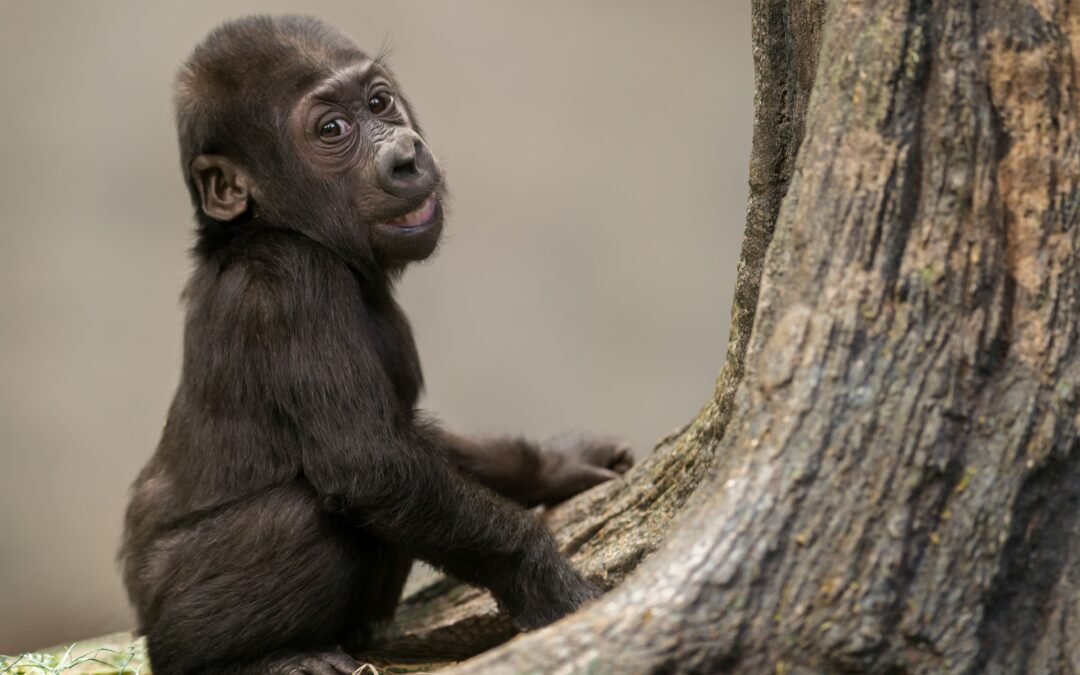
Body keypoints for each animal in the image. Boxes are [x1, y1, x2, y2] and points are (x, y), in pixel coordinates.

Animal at [119, 15, 633, 675]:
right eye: (332, 130)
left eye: (379, 102)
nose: (406, 156)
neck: (270, 226)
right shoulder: (292, 282)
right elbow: (372, 463)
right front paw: (542, 578)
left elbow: (418, 443)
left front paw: (553, 465)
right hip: (167, 623)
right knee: (300, 518)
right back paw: (263, 658)